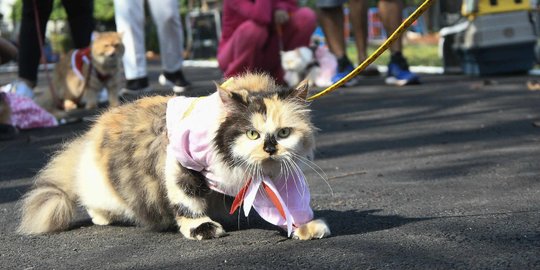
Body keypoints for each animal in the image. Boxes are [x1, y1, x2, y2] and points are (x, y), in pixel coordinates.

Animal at [19, 72, 332, 240]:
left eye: (283, 133)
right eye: (252, 134)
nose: (270, 148)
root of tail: (91, 134)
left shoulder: (274, 180)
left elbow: (289, 210)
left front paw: (307, 228)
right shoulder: (182, 163)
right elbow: (186, 201)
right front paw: (202, 228)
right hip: (103, 188)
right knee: (93, 200)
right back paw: (102, 217)